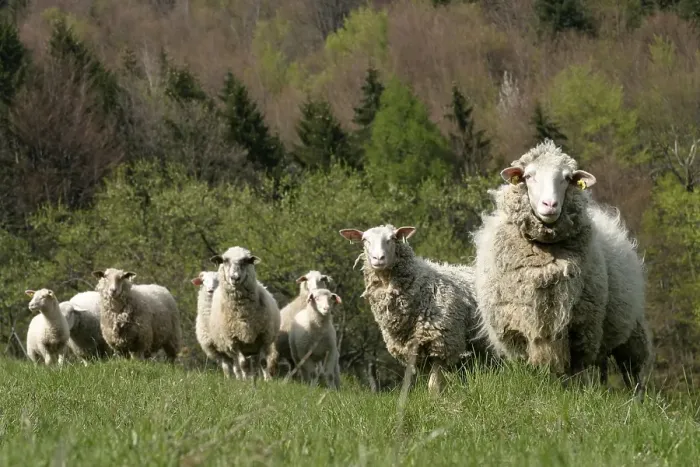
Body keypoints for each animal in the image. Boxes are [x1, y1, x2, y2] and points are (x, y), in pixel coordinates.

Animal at [208, 246, 281, 381]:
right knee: (237, 365)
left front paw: (267, 380)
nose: (235, 278)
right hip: (232, 348)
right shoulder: (234, 341)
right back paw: (242, 378)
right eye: (225, 260)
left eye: (246, 261)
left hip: (254, 345)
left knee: (256, 362)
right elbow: (243, 364)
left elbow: (263, 362)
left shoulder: (263, 336)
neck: (243, 313)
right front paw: (246, 381)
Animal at [338, 225, 491, 395]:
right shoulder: (415, 350)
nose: (378, 258)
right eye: (365, 240)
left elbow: (433, 385)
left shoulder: (441, 342)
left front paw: (435, 399)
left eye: (392, 238)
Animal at [473, 139, 651, 396]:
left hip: (632, 330)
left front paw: (576, 396)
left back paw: (636, 399)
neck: (546, 257)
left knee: (633, 371)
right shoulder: (515, 333)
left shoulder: (581, 329)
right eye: (528, 176)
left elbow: (575, 375)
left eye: (567, 178)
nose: (550, 205)